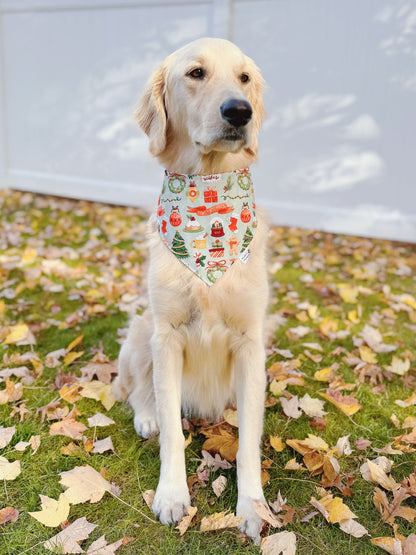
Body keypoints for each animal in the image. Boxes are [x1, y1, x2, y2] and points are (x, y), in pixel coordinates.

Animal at [113, 38, 270, 540]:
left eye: (244, 78)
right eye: (196, 73)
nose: (239, 111)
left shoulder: (250, 341)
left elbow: (249, 440)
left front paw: (252, 506)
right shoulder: (167, 336)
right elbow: (171, 432)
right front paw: (171, 495)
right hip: (141, 332)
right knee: (138, 391)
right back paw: (145, 416)